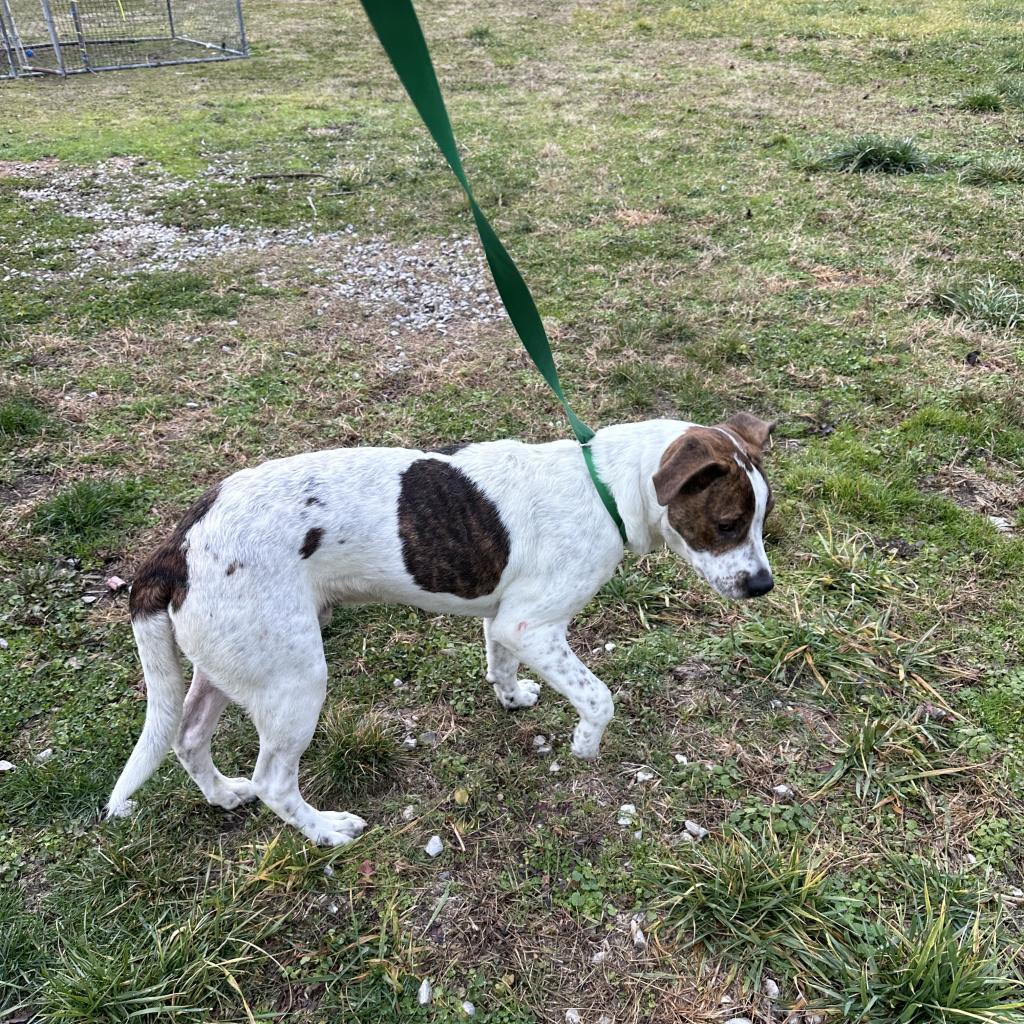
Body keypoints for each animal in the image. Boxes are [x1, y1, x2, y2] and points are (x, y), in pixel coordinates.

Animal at [105, 411, 774, 843]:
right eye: (727, 523)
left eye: (763, 521)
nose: (763, 586)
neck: (603, 487)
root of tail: (176, 547)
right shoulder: (532, 626)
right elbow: (599, 697)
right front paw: (585, 745)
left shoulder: (505, 623)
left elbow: (499, 661)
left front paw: (511, 697)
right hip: (294, 681)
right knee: (274, 781)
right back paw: (326, 831)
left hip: (233, 665)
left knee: (188, 737)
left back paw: (223, 795)